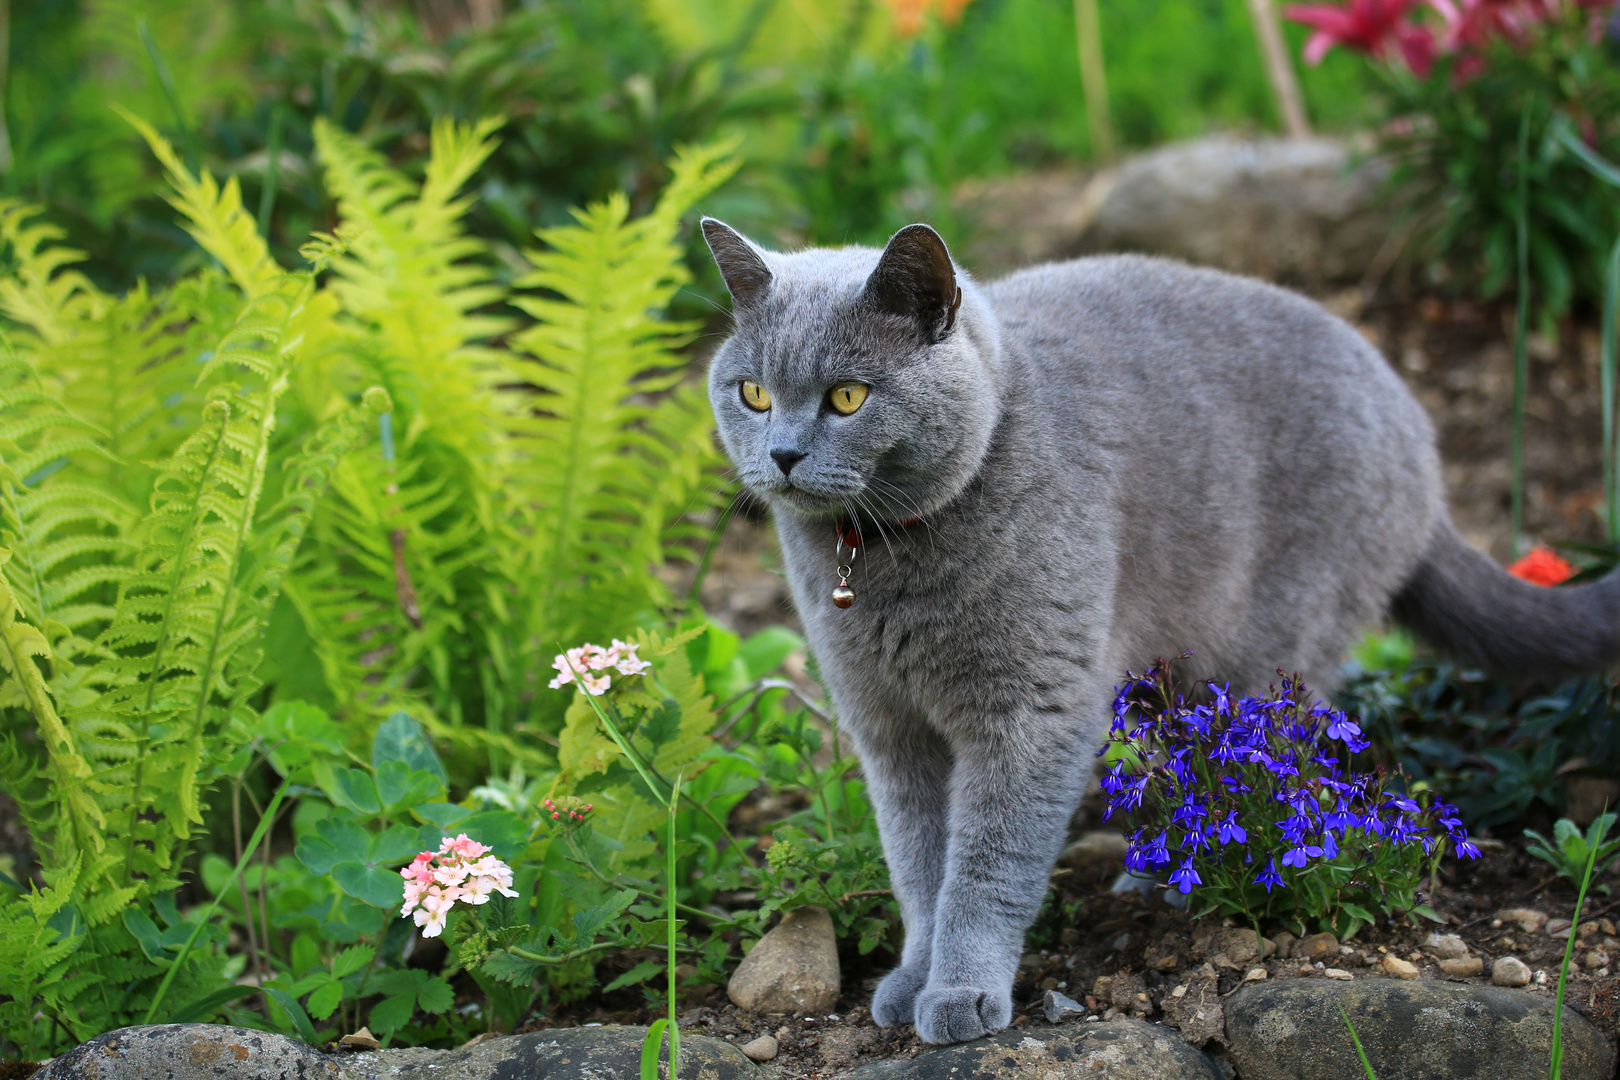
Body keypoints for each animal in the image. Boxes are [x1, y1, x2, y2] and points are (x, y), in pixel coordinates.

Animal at [699, 215, 1620, 1042]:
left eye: (848, 396)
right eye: (753, 393)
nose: (782, 454)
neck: (879, 561)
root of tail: (1420, 437)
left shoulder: (1034, 712)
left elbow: (988, 864)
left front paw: (961, 992)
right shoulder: (888, 728)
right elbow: (920, 865)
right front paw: (913, 976)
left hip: (1272, 648)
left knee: (1264, 774)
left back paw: (1178, 873)